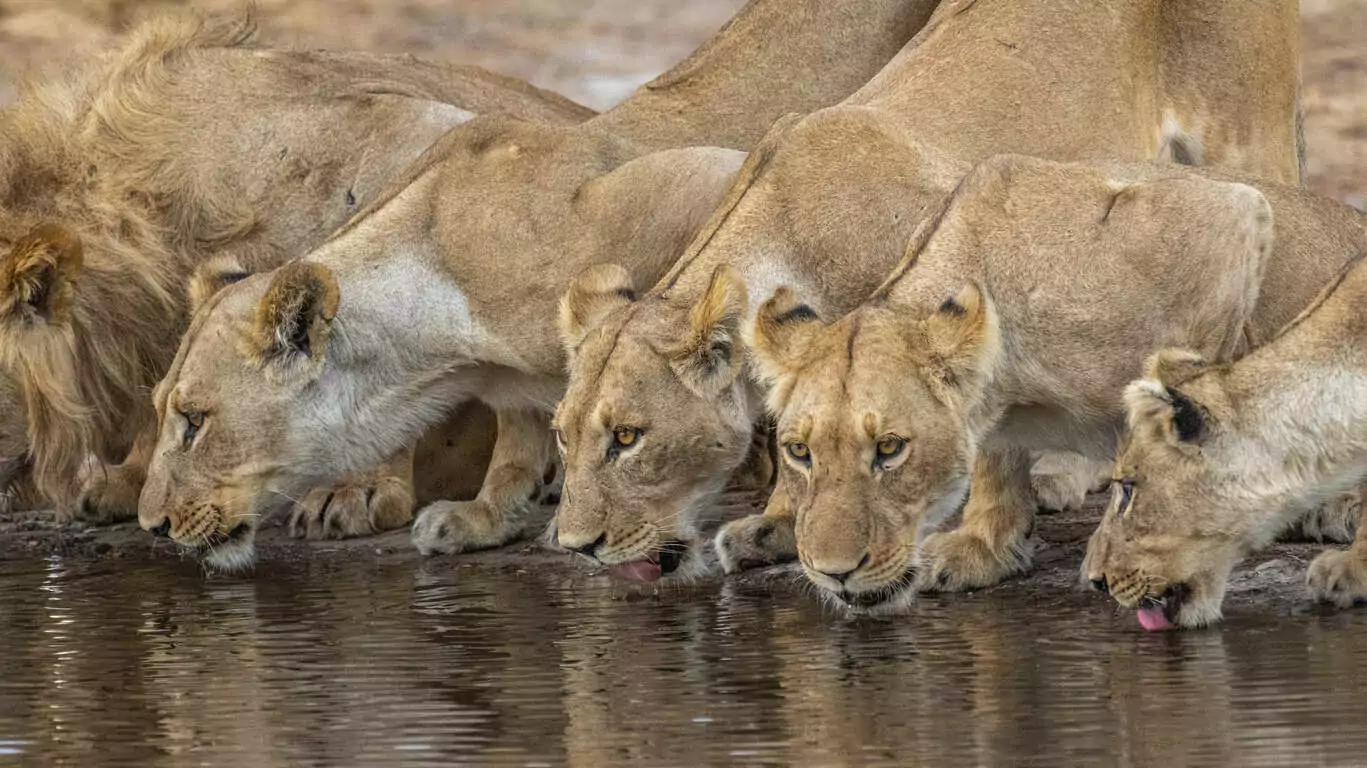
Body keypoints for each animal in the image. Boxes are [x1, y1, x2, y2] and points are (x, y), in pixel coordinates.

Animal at [130, 0, 951, 565]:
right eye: (163, 409)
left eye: (195, 419)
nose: (151, 525)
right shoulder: (508, 372)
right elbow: (521, 426)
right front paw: (491, 514)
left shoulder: (698, 185)